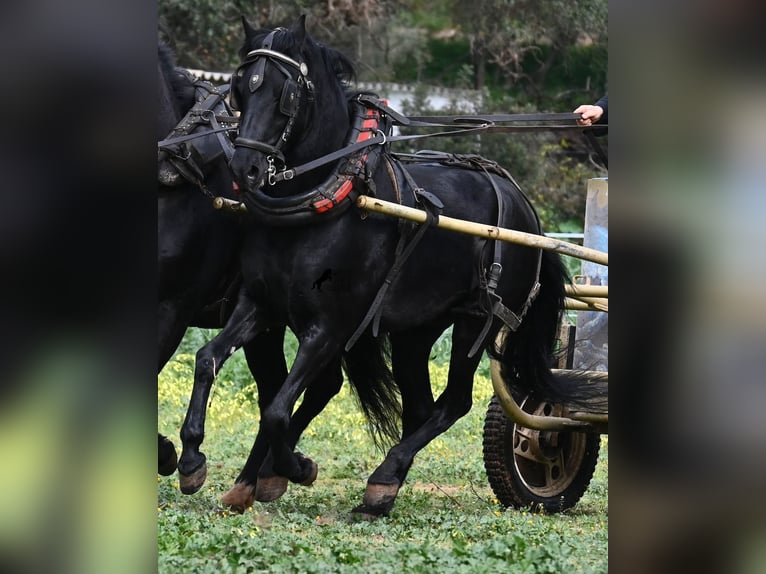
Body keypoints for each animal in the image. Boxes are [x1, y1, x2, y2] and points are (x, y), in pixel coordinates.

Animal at [177, 16, 600, 517]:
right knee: (419, 407)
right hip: (415, 331)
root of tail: (527, 212)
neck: (324, 198)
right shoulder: (260, 305)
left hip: (479, 320)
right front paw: (192, 459)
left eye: (285, 94)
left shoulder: (331, 325)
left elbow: (278, 409)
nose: (245, 169)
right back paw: (385, 485)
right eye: (241, 88)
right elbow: (208, 360)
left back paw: (380, 476)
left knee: (453, 402)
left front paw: (295, 467)